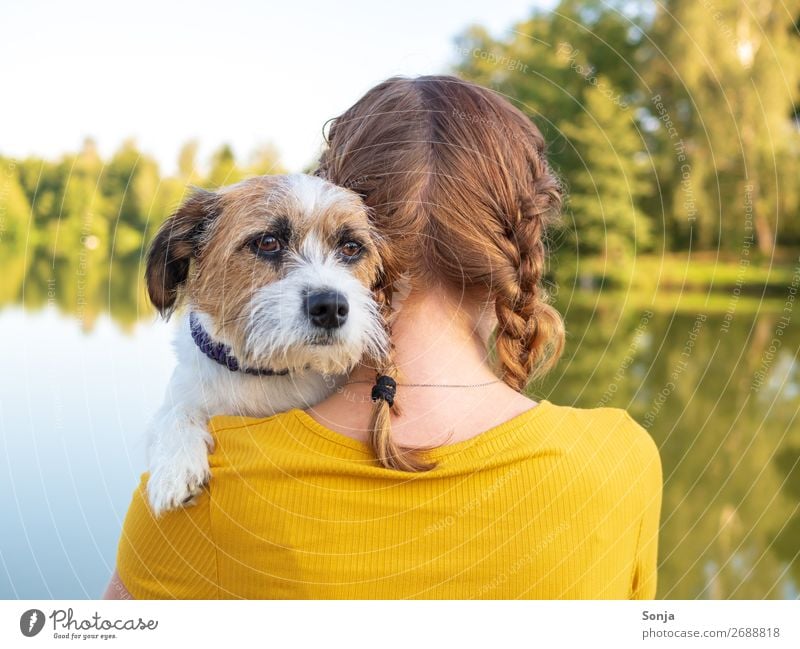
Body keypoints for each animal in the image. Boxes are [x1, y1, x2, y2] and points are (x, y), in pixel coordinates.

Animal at [143, 173, 388, 516]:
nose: (330, 307)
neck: (266, 371)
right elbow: (175, 411)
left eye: (351, 247)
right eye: (268, 242)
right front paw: (175, 470)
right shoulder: (182, 392)